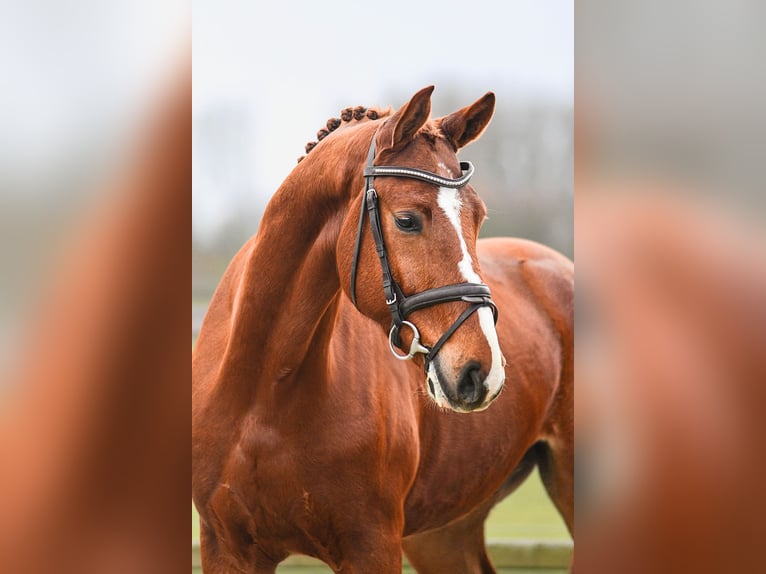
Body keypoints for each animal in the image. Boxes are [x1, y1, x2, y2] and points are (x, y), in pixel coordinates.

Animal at [194, 86, 576, 574]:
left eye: (479, 218)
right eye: (407, 220)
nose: (481, 373)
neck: (264, 395)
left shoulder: (371, 545)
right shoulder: (227, 548)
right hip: (443, 533)